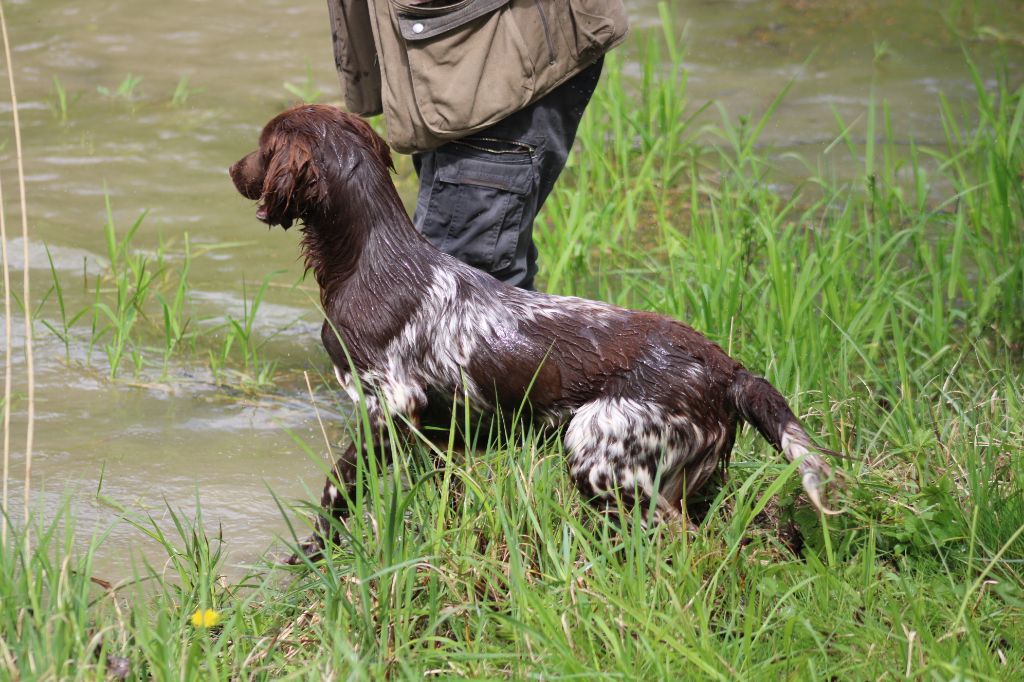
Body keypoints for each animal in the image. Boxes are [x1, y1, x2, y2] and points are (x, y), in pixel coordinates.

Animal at [230, 102, 831, 557]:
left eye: (262, 146)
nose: (233, 170)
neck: (369, 259)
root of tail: (728, 369)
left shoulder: (389, 404)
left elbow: (336, 491)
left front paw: (312, 554)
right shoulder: (435, 431)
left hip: (595, 450)